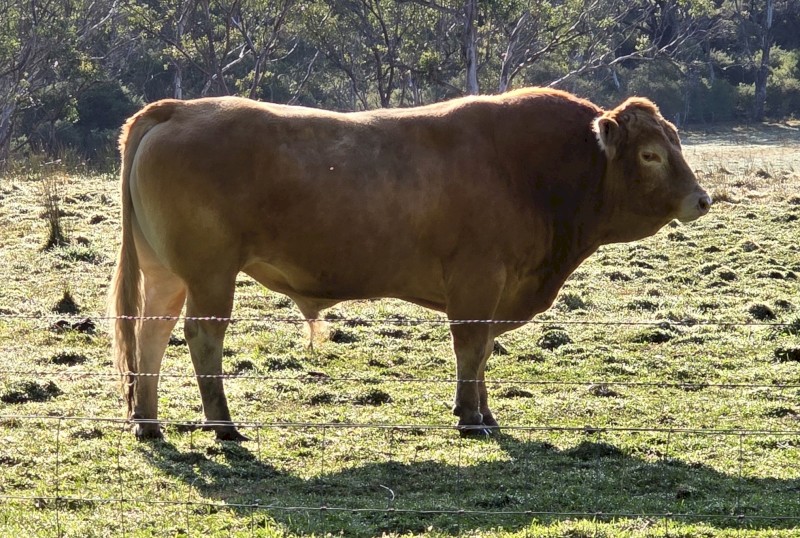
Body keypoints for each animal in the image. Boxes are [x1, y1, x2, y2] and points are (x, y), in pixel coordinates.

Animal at [109, 88, 711, 441]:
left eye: (677, 143)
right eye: (651, 154)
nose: (701, 199)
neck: (534, 170)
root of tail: (179, 108)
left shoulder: (491, 289)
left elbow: (482, 352)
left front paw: (484, 411)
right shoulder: (478, 279)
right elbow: (471, 348)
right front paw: (470, 417)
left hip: (167, 275)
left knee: (150, 335)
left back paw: (149, 423)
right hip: (210, 274)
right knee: (201, 337)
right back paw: (223, 425)